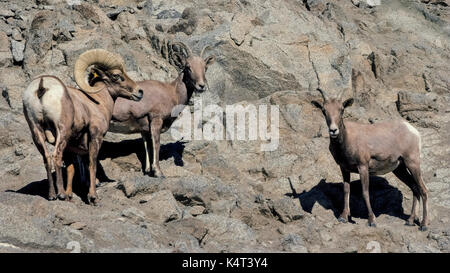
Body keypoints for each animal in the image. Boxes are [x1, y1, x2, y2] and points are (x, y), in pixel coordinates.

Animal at [22, 49, 142, 203]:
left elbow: (71, 169)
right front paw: (93, 197)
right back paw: (60, 194)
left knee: (47, 158)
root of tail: (42, 86)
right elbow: (92, 164)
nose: (139, 92)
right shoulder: (95, 137)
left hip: (36, 131)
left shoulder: (72, 147)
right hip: (62, 131)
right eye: (116, 75)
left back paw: (52, 195)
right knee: (56, 157)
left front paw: (69, 195)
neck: (98, 102)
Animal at [109, 41, 214, 176]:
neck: (172, 93)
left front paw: (148, 170)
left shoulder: (145, 129)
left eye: (205, 67)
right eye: (188, 67)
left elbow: (147, 146)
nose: (201, 86)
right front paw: (158, 172)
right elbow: (156, 144)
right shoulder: (156, 120)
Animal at [312, 87, 428, 230]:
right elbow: (346, 190)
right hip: (399, 169)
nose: (333, 130)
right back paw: (410, 221)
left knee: (423, 190)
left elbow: (365, 192)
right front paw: (343, 217)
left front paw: (372, 221)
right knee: (414, 188)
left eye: (341, 109)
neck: (347, 140)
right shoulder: (344, 169)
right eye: (324, 110)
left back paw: (423, 225)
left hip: (412, 163)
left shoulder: (363, 167)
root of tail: (413, 131)